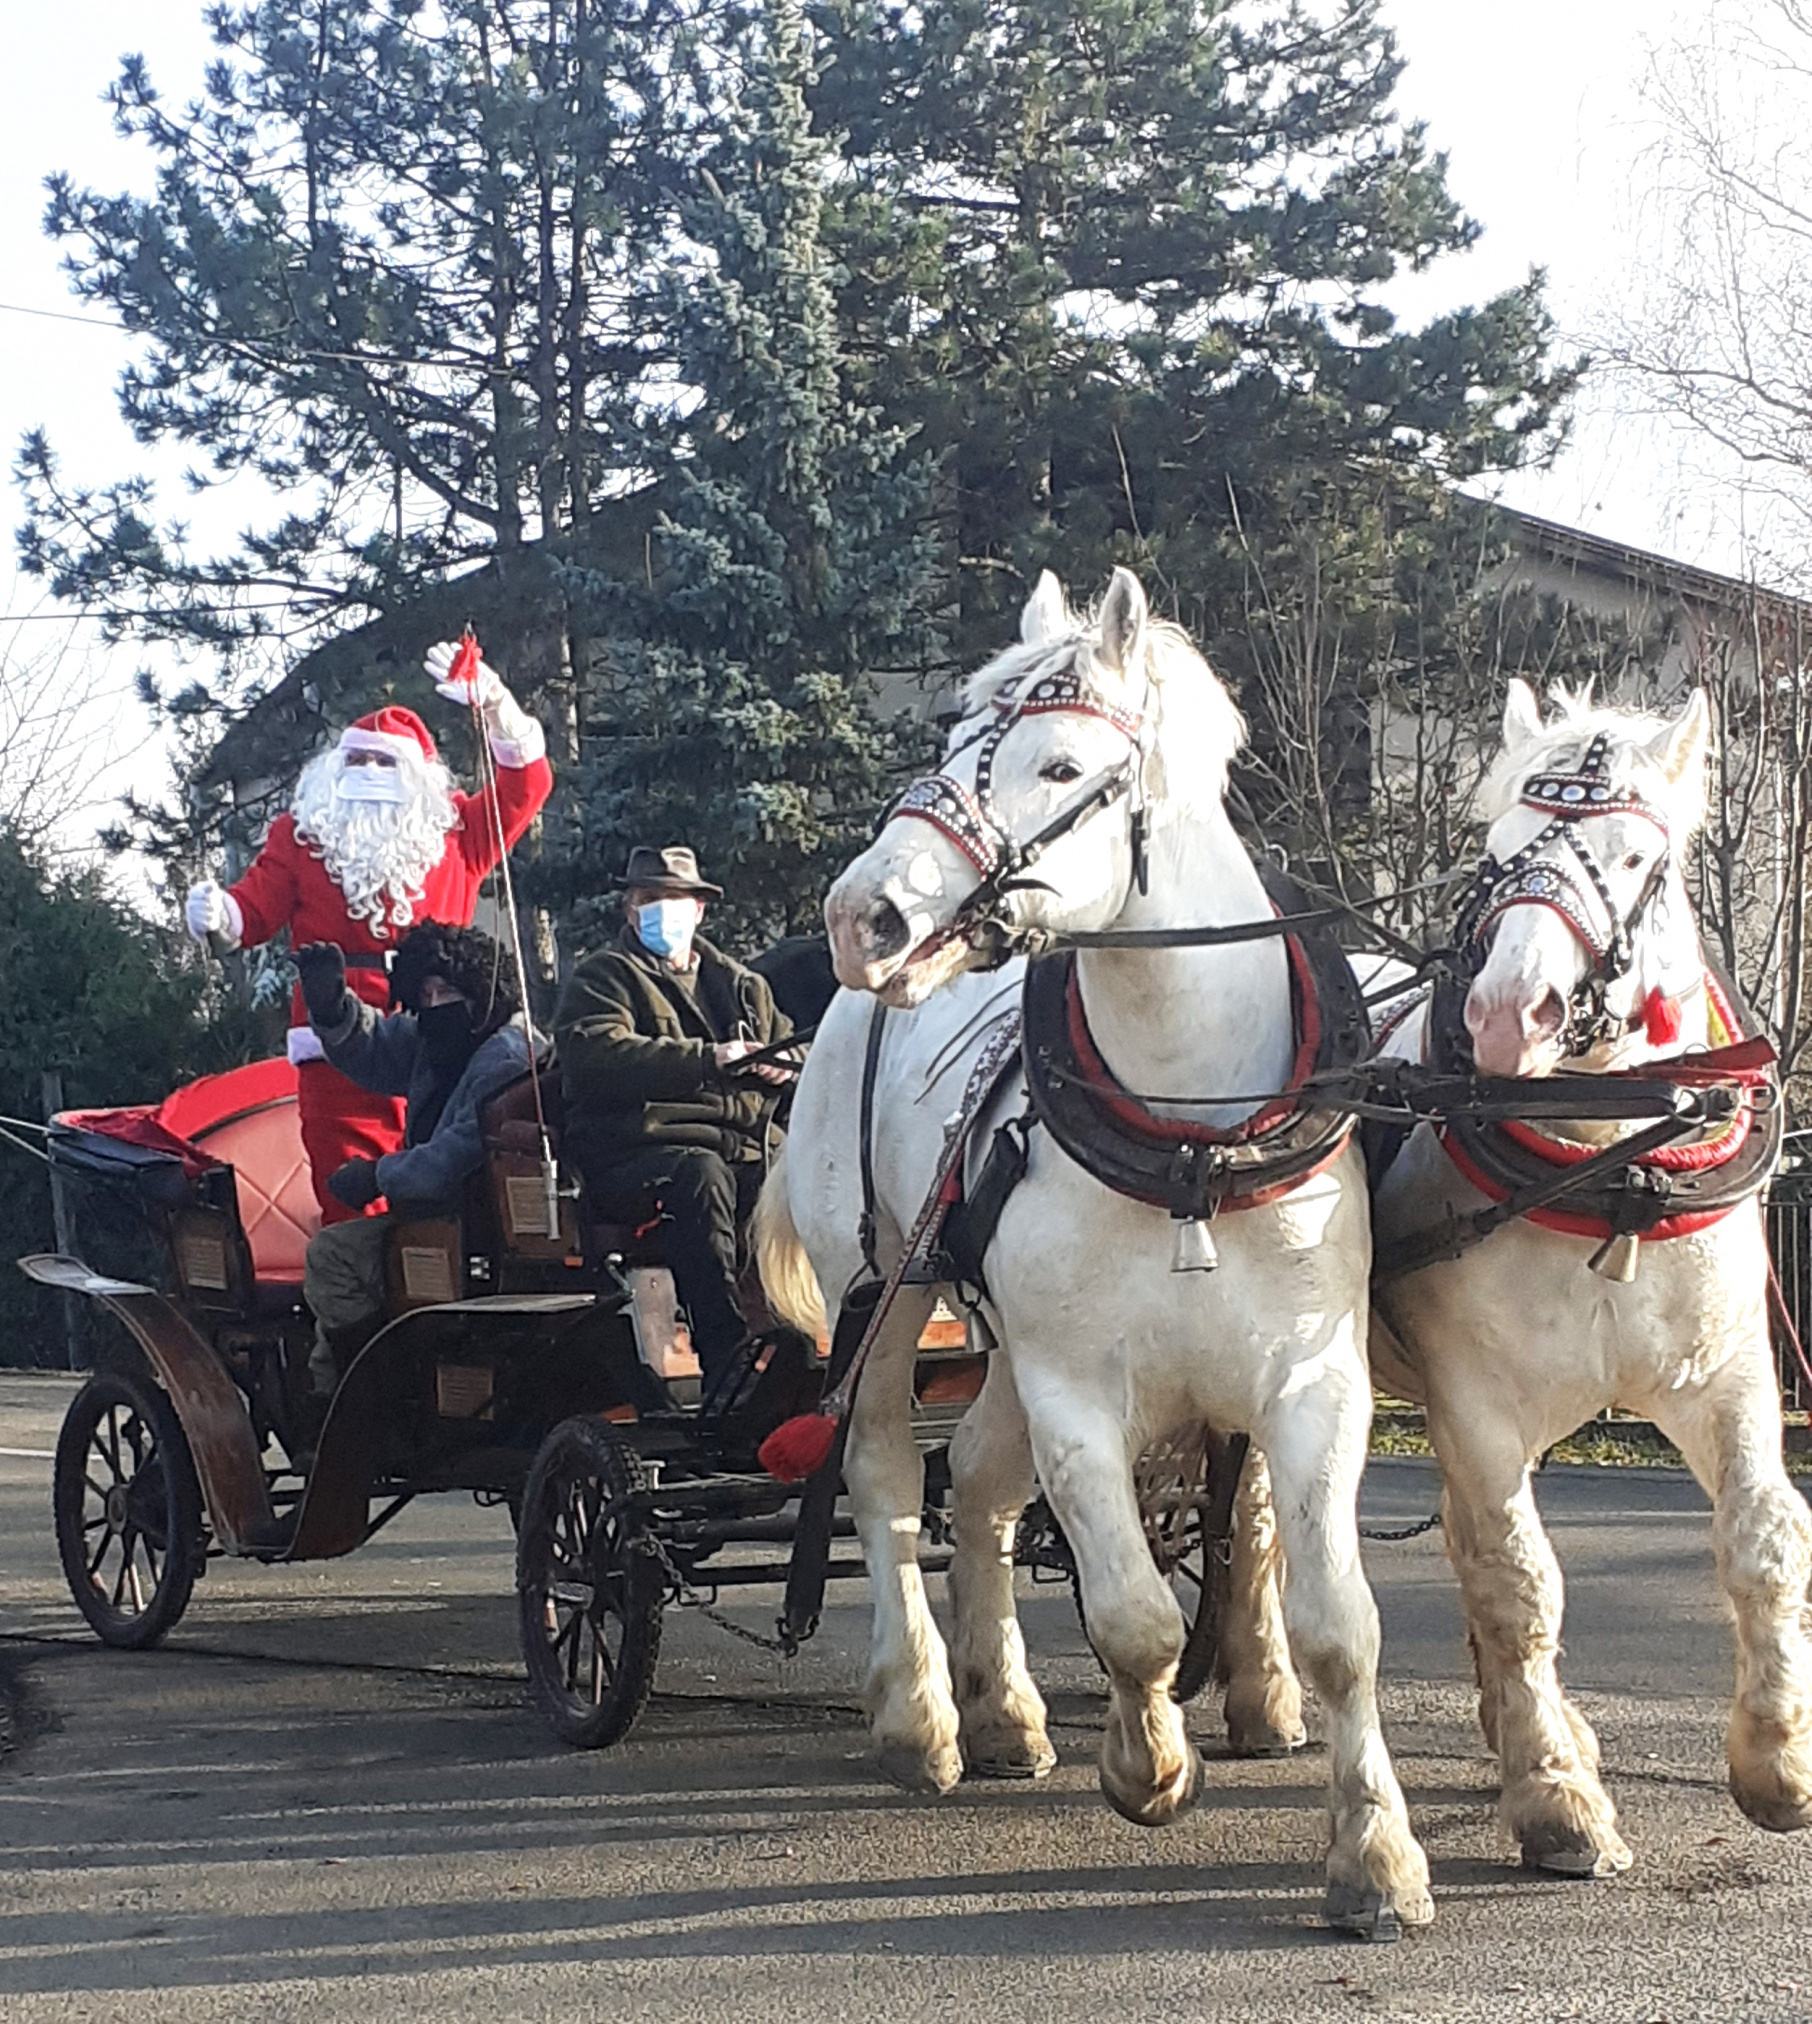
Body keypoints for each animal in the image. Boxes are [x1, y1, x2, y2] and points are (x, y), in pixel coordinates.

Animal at [758, 567, 1433, 1938]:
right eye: (951, 739)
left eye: (1060, 762)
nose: (863, 915)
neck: (1189, 1136)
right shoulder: (1075, 1384)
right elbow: (1131, 1614)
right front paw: (1148, 1762)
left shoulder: (1311, 1381)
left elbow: (1338, 1621)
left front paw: (1375, 1853)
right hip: (885, 1288)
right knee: (886, 1475)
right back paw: (921, 1712)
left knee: (975, 1478)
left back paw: (1003, 1707)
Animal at [1361, 678, 1812, 1875]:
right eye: (1494, 849)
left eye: (1631, 853)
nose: (1505, 1012)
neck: (1613, 1166)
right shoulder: (1475, 1398)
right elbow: (1519, 1578)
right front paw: (1556, 1793)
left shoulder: (1727, 1377)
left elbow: (1763, 1539)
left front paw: (1778, 1760)